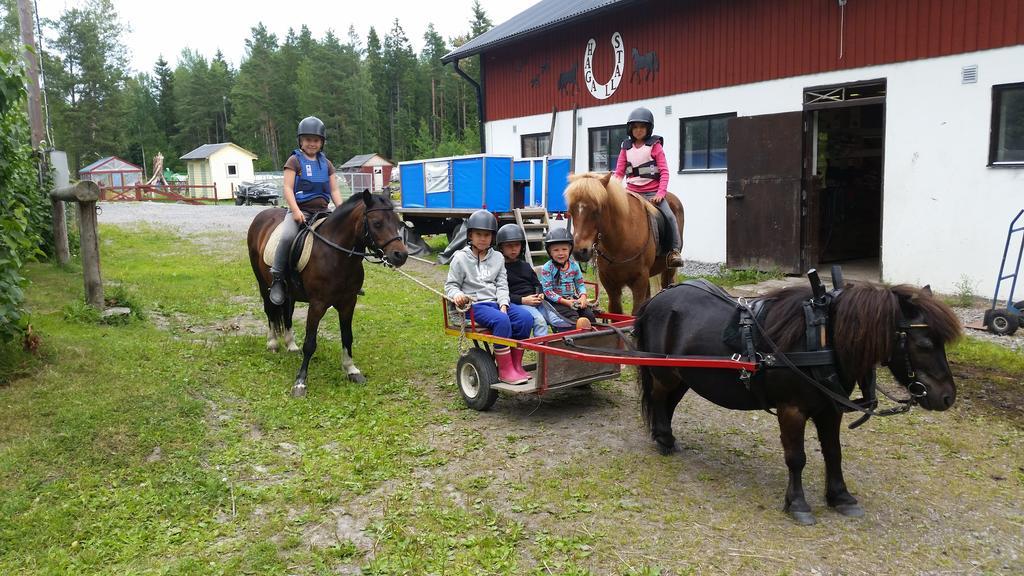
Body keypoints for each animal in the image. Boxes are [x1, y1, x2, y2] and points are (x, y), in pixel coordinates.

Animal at [246, 190, 407, 397]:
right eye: (377, 223)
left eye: (398, 223)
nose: (400, 255)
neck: (336, 255)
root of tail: (262, 215)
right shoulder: (317, 305)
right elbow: (310, 343)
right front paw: (300, 383)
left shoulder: (348, 303)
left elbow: (347, 337)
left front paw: (351, 370)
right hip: (263, 285)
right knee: (270, 312)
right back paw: (272, 343)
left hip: (289, 293)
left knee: (287, 314)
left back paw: (291, 345)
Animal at [565, 170, 684, 313]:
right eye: (570, 211)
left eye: (597, 210)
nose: (580, 251)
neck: (619, 244)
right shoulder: (610, 284)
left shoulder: (639, 281)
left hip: (668, 270)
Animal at [634, 280, 962, 522]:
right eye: (924, 343)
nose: (947, 396)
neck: (821, 339)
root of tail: (657, 299)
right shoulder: (791, 410)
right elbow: (797, 458)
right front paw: (798, 503)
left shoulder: (830, 410)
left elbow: (833, 453)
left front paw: (840, 496)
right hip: (665, 373)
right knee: (659, 397)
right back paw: (664, 438)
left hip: (683, 374)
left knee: (668, 403)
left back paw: (665, 437)